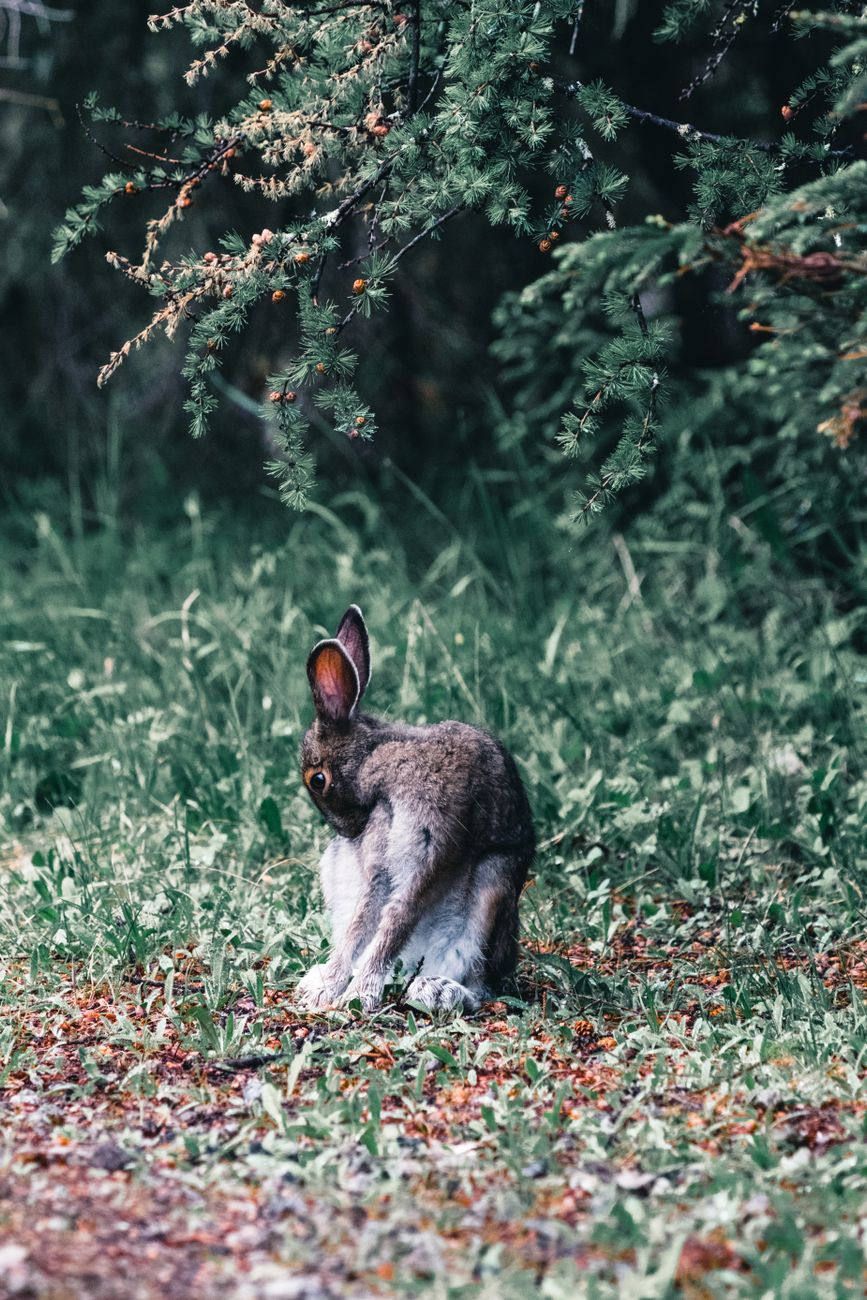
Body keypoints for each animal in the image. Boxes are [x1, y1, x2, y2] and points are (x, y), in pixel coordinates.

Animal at [295, 605, 534, 1013]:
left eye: (317, 779)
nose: (348, 831)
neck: (379, 760)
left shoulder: (432, 849)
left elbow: (398, 918)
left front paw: (358, 994)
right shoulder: (379, 863)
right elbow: (362, 923)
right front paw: (326, 987)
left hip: (493, 890)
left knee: (481, 984)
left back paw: (437, 990)